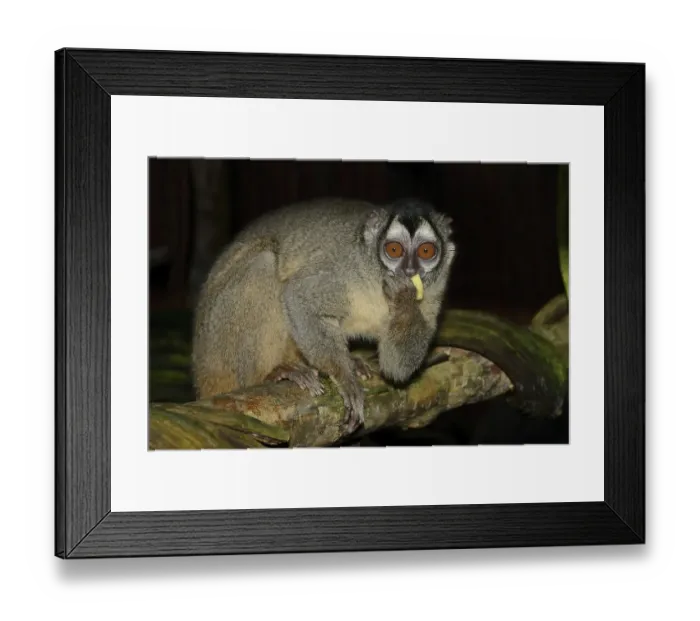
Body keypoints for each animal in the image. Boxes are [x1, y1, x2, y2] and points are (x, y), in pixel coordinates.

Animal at [191, 196, 457, 434]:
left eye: (426, 251)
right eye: (394, 250)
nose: (409, 270)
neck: (376, 280)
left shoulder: (434, 296)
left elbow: (397, 369)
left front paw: (404, 297)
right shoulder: (344, 269)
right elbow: (298, 296)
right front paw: (346, 379)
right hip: (216, 342)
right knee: (263, 264)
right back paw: (268, 374)